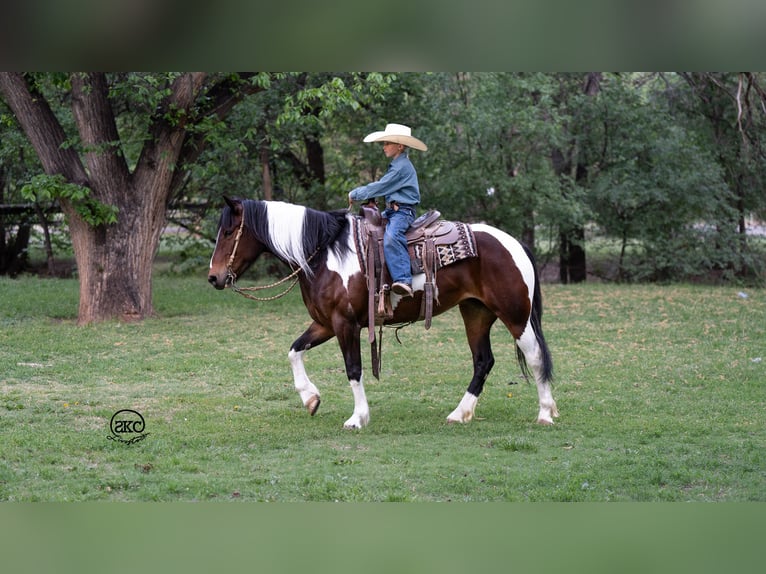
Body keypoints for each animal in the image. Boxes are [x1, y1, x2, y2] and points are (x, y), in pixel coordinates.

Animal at [208, 198, 560, 428]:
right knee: (483, 362)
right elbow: (294, 351)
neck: (325, 253)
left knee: (535, 357)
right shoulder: (325, 323)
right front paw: (311, 399)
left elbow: (353, 369)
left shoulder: (345, 324)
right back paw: (459, 414)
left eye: (228, 232)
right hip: (476, 313)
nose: (214, 277)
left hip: (516, 317)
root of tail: (514, 243)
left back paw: (545, 413)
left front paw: (357, 417)